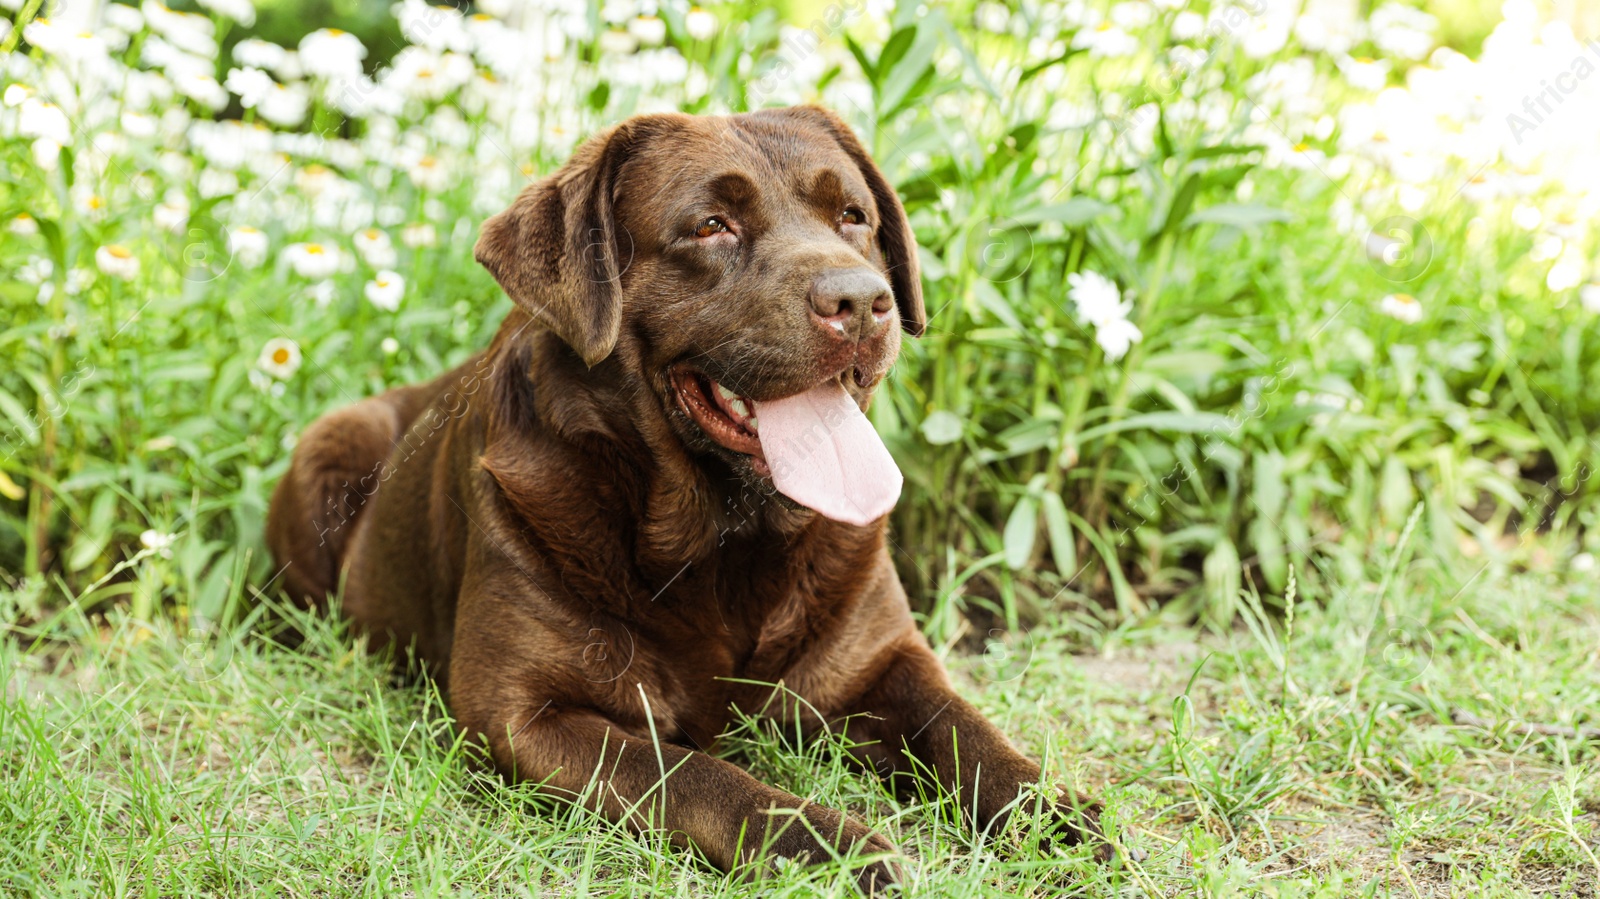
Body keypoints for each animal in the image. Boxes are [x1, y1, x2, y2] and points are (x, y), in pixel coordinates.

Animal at [265, 104, 1113, 889]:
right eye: (711, 226)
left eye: (854, 217)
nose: (862, 302)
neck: (725, 540)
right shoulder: (517, 713)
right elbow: (692, 772)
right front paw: (835, 846)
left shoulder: (885, 654)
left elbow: (967, 731)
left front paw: (1056, 815)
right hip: (327, 446)